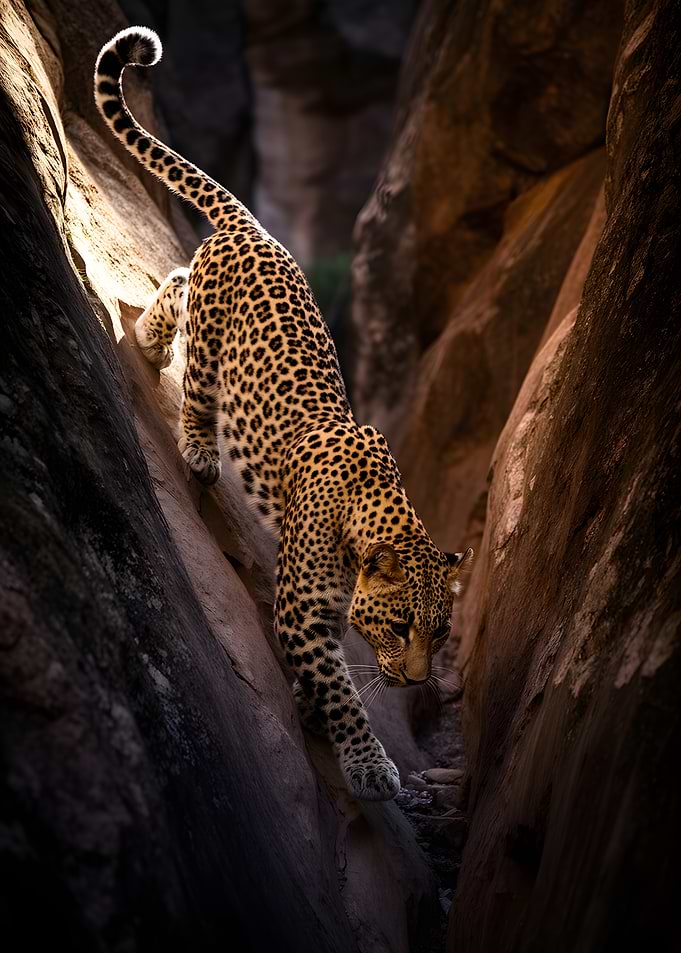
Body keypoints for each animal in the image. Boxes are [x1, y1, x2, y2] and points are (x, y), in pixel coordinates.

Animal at [95, 26, 473, 801]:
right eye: (399, 625)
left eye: (443, 632)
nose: (415, 679)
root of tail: (254, 227)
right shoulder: (301, 606)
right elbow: (343, 690)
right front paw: (368, 764)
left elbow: (326, 679)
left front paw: (313, 707)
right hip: (213, 342)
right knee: (193, 362)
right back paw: (188, 429)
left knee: (174, 275)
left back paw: (148, 337)